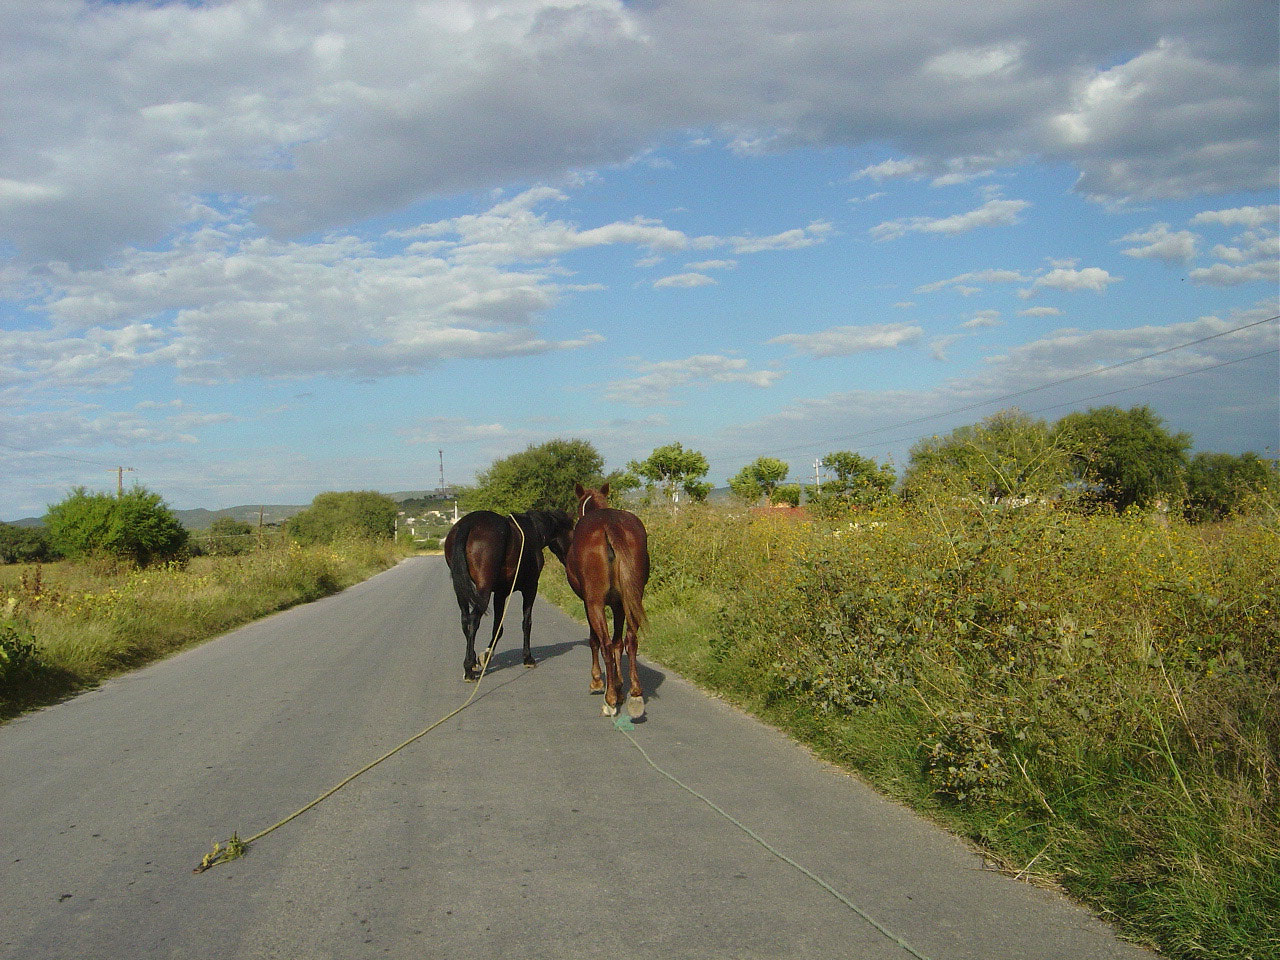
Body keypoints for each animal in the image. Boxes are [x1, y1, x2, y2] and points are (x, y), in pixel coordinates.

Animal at [444, 508, 573, 682]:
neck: (534, 530)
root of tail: (468, 524)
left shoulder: (500, 593)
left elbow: (498, 627)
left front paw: (486, 655)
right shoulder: (530, 588)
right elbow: (526, 622)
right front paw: (528, 658)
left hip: (461, 590)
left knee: (465, 621)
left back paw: (471, 663)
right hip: (483, 591)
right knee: (473, 620)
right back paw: (469, 668)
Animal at [564, 483, 651, 719]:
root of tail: (610, 524)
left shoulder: (589, 603)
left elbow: (596, 640)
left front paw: (598, 682)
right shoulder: (619, 604)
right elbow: (619, 642)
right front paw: (620, 687)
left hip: (595, 603)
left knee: (604, 644)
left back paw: (609, 699)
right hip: (633, 599)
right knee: (630, 640)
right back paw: (635, 694)